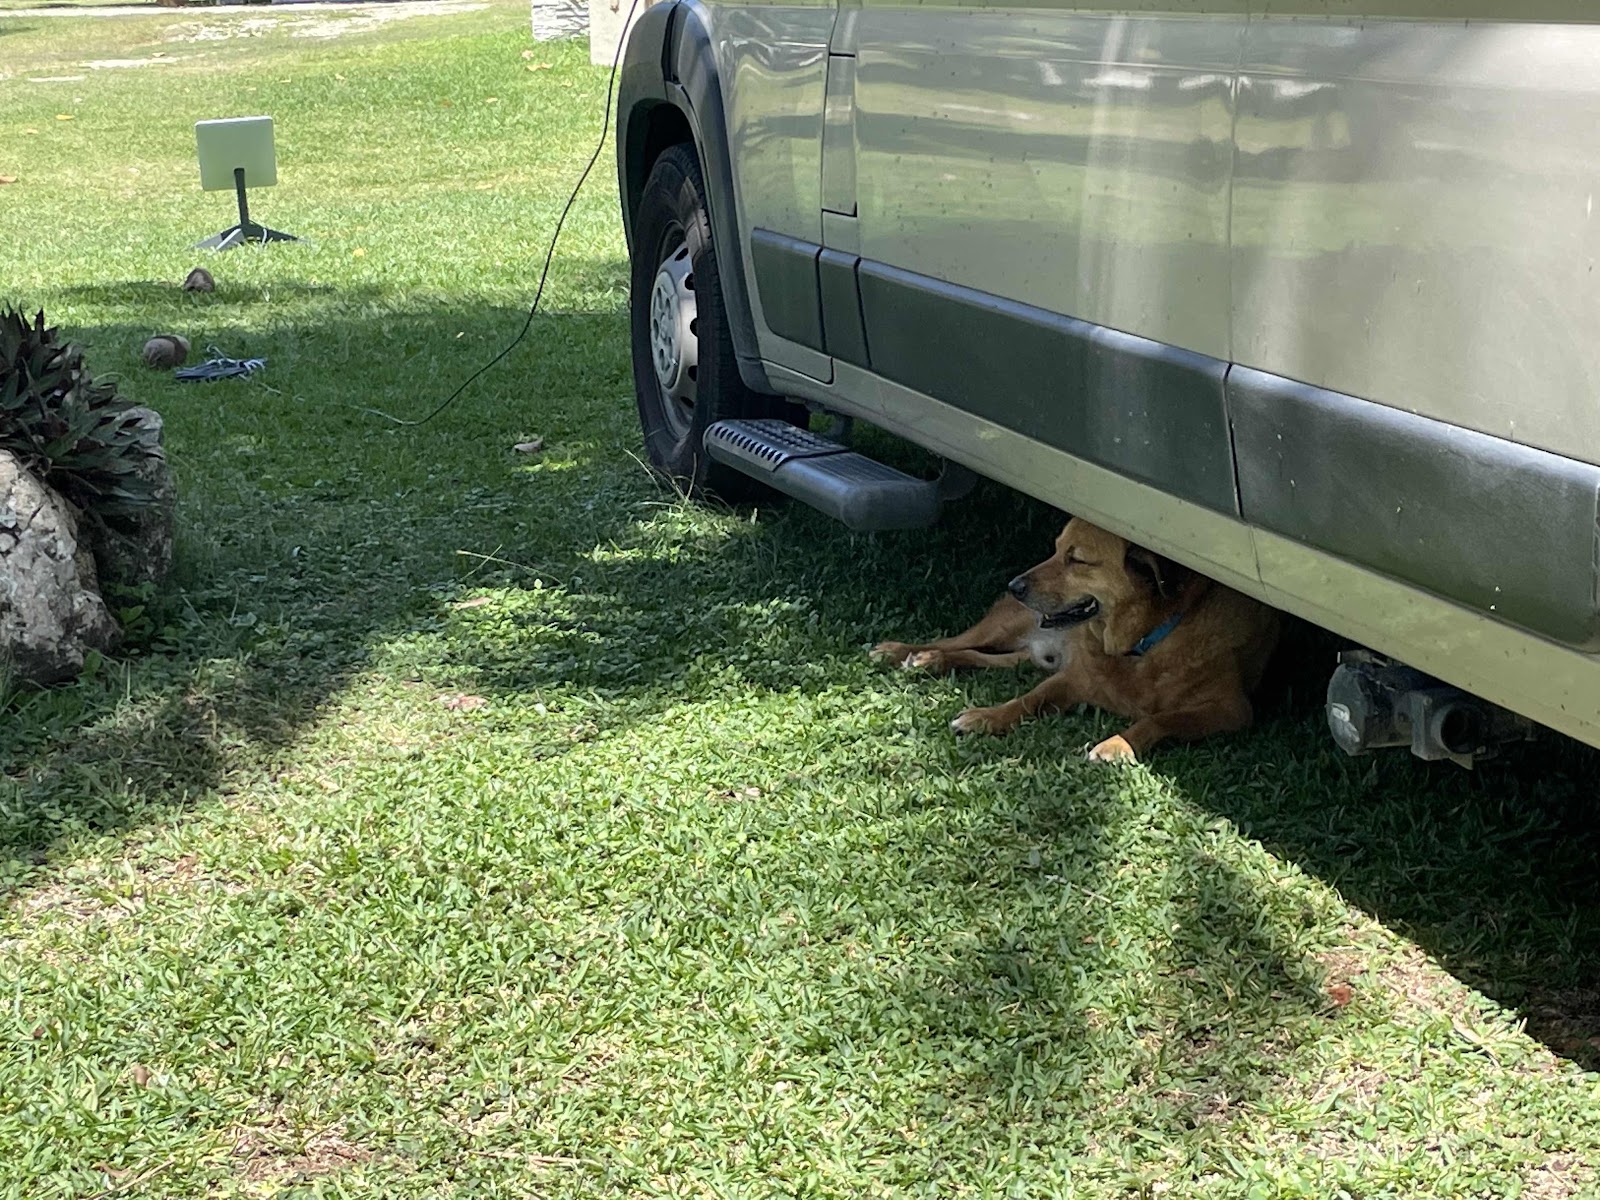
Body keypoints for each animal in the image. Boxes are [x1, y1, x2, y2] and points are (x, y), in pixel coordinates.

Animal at [871, 518, 1281, 762]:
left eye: (1078, 559)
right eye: (1054, 549)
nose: (1014, 585)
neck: (1140, 646)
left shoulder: (1230, 709)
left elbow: (1160, 719)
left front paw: (1118, 744)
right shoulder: (1073, 678)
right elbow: (1027, 699)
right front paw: (986, 717)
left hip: (1029, 656)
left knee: (982, 656)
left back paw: (931, 661)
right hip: (1004, 627)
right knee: (956, 640)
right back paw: (909, 653)